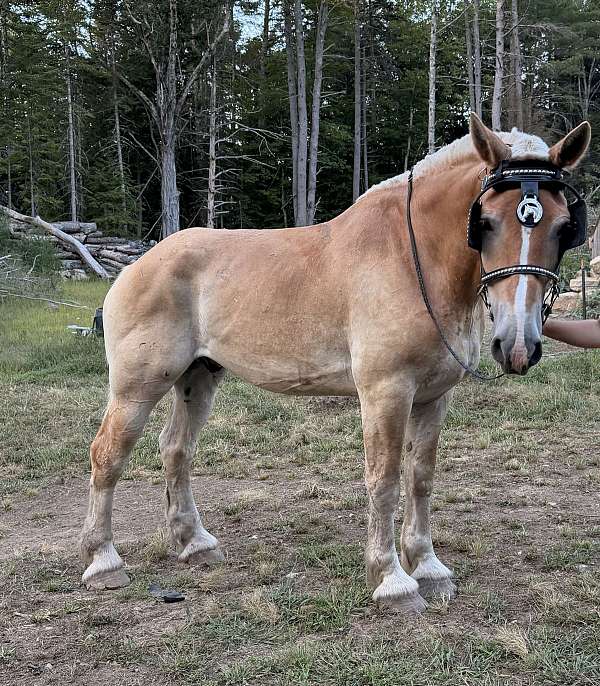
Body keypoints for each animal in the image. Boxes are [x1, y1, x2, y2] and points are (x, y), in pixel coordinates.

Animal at [80, 114, 591, 614]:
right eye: (484, 222)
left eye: (564, 227)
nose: (518, 345)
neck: (414, 258)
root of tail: (138, 266)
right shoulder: (386, 392)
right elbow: (384, 481)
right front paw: (392, 581)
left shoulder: (434, 396)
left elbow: (420, 478)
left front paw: (428, 568)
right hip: (137, 387)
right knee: (107, 455)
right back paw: (103, 560)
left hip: (198, 378)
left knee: (176, 450)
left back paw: (195, 544)